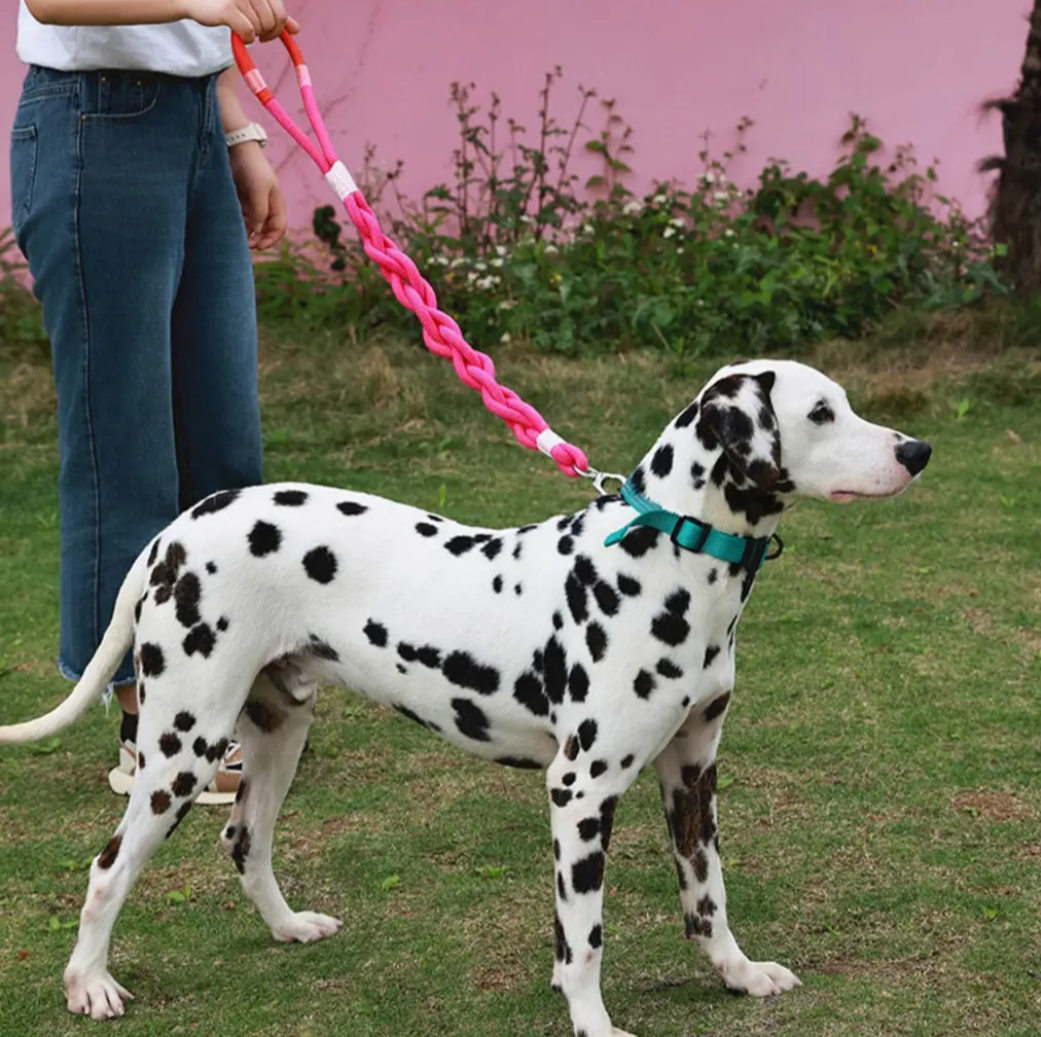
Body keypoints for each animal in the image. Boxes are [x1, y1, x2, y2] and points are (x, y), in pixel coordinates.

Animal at [0, 360, 928, 1032]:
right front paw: (593, 1023)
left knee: (244, 837)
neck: (665, 554)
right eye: (821, 413)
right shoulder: (579, 790)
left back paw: (288, 927)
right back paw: (88, 982)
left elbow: (706, 893)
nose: (915, 450)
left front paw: (737, 973)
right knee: (108, 866)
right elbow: (583, 937)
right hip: (181, 749)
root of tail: (180, 526)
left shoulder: (691, 771)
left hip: (277, 730)